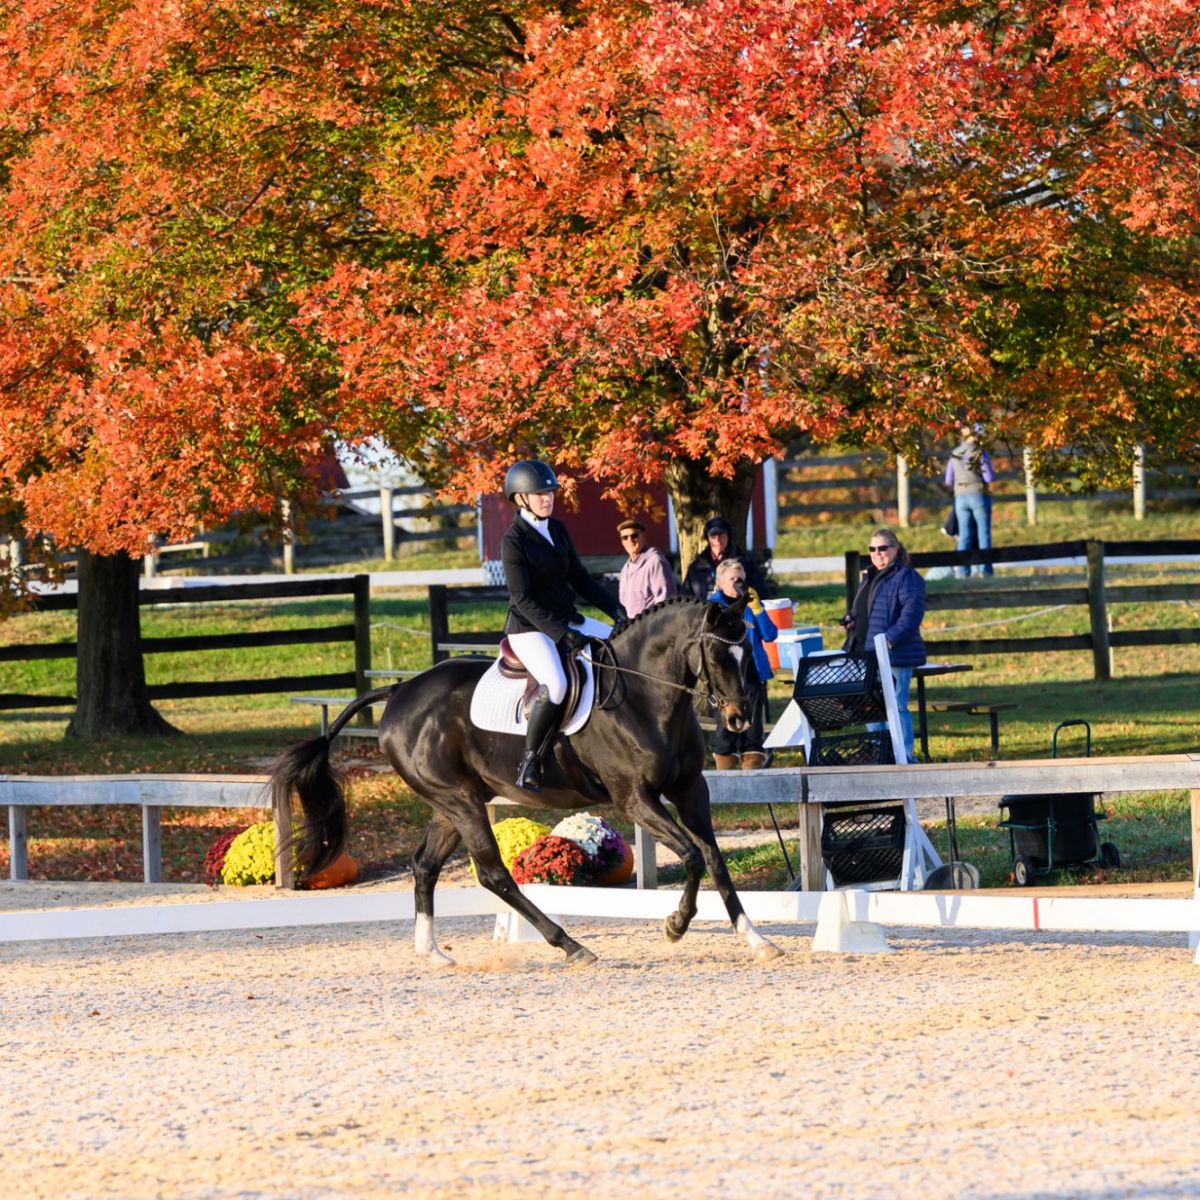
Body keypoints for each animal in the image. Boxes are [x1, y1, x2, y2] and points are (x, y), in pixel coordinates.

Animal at [270, 594, 784, 967]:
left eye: (748, 652)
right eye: (717, 653)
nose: (739, 719)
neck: (644, 696)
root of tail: (399, 690)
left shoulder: (690, 789)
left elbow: (715, 860)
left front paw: (756, 940)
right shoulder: (635, 798)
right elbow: (693, 856)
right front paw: (675, 925)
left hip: (451, 804)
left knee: (424, 866)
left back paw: (432, 953)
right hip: (461, 802)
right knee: (494, 874)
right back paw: (572, 946)